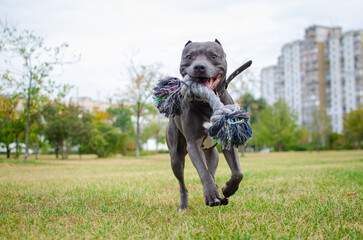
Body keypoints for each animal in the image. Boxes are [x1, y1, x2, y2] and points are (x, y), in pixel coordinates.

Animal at [166, 39, 243, 210]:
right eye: (189, 56)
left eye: (213, 56)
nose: (199, 66)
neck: (207, 102)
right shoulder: (193, 143)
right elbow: (202, 171)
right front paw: (212, 195)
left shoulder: (227, 137)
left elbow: (237, 173)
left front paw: (227, 189)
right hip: (176, 157)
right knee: (183, 184)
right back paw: (184, 206)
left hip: (213, 154)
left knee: (212, 170)